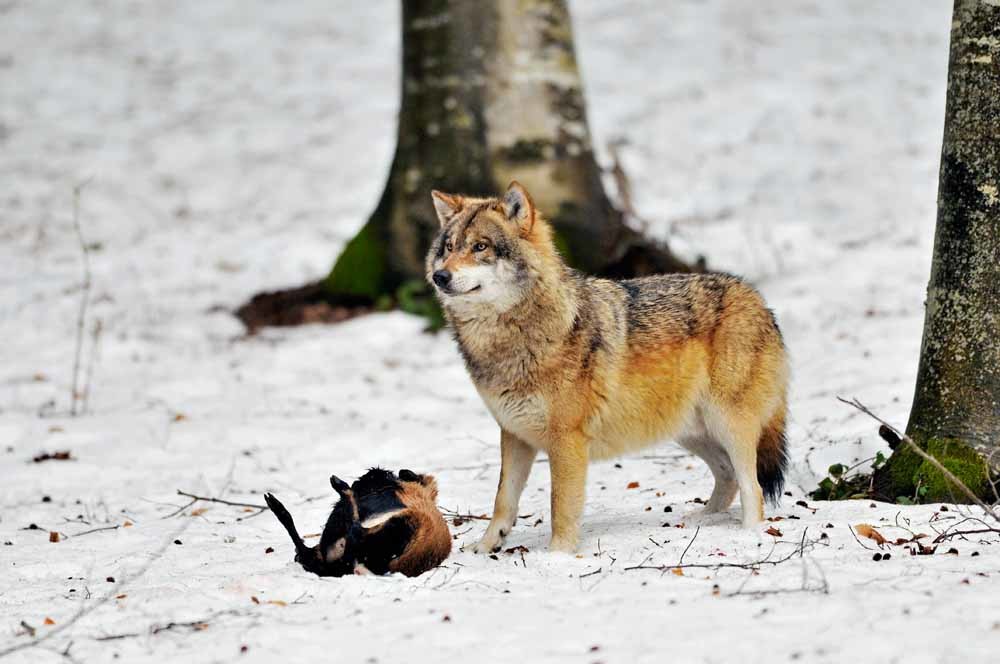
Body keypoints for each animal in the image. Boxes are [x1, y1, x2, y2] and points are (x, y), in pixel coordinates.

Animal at [426, 182, 789, 553]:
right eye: (449, 247)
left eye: (480, 246)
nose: (439, 276)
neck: (512, 337)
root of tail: (759, 299)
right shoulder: (514, 435)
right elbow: (503, 500)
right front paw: (484, 548)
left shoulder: (567, 441)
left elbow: (560, 506)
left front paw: (558, 556)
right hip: (689, 431)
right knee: (727, 476)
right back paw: (701, 520)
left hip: (728, 424)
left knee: (753, 487)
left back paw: (749, 535)